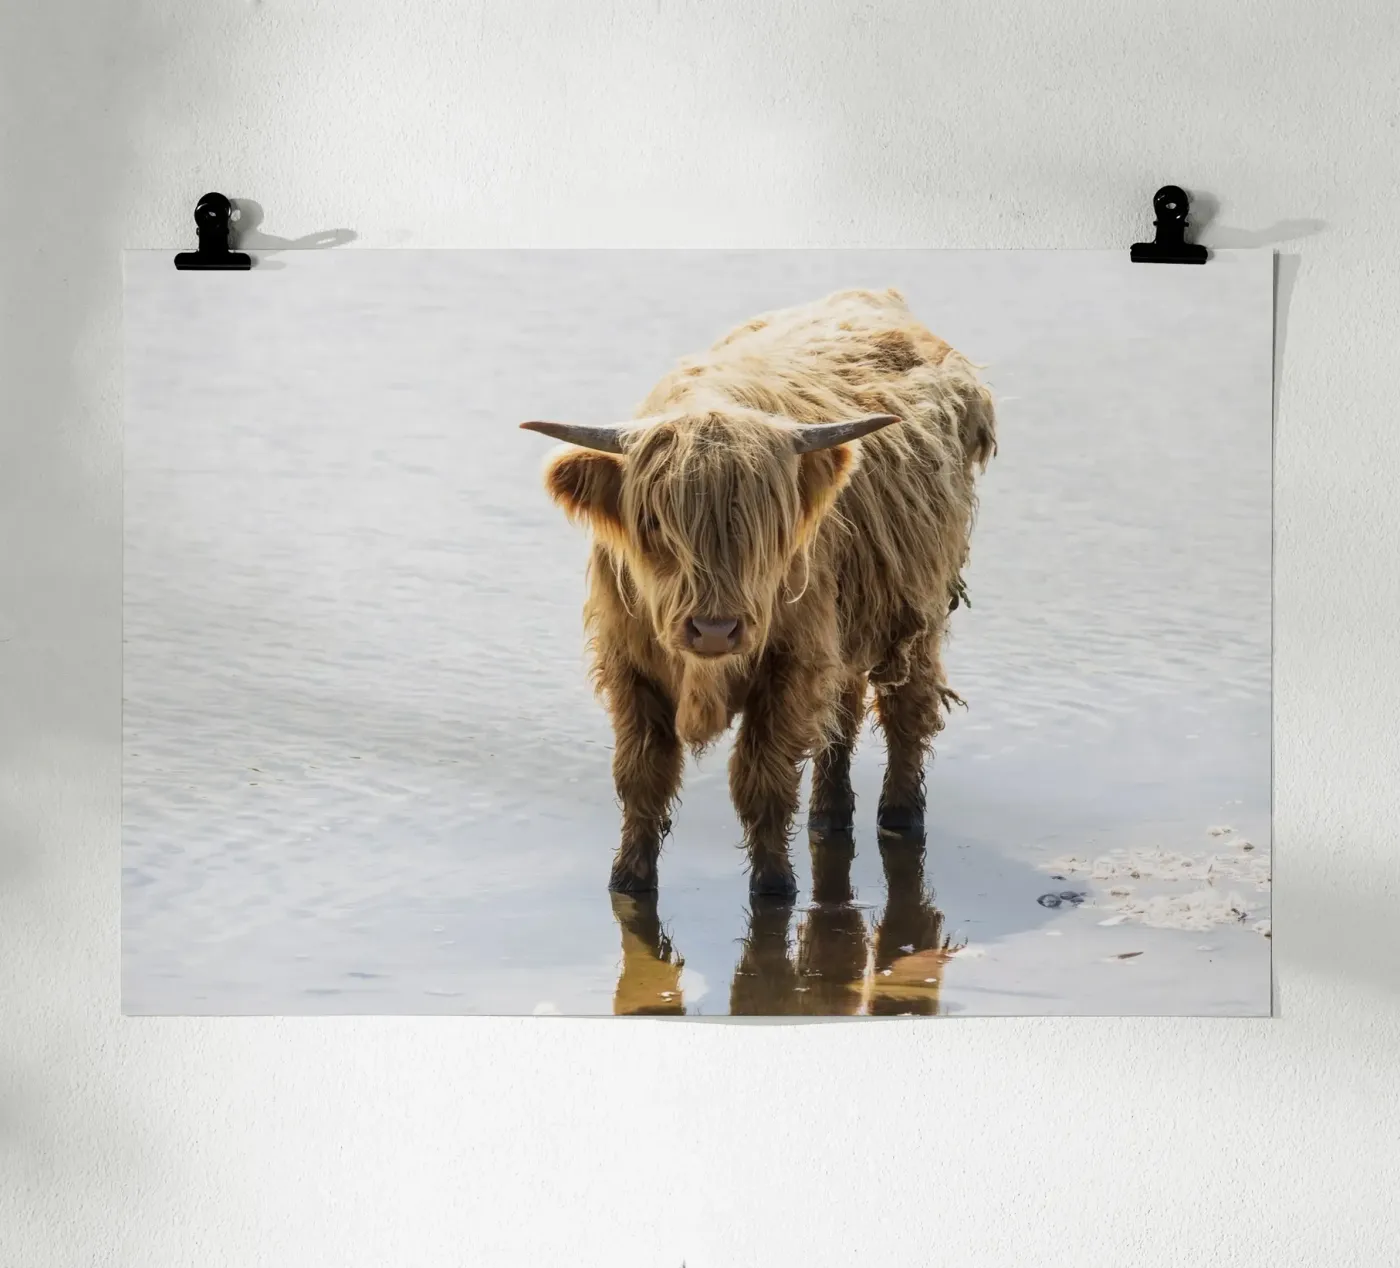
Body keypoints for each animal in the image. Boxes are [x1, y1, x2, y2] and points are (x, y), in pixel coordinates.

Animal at [522, 287, 996, 896]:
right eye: (653, 522)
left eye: (766, 527)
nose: (714, 629)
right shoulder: (629, 665)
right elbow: (642, 777)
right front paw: (627, 880)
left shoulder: (791, 663)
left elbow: (763, 781)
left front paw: (774, 887)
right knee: (840, 715)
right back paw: (829, 816)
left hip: (917, 611)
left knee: (906, 710)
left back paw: (900, 816)